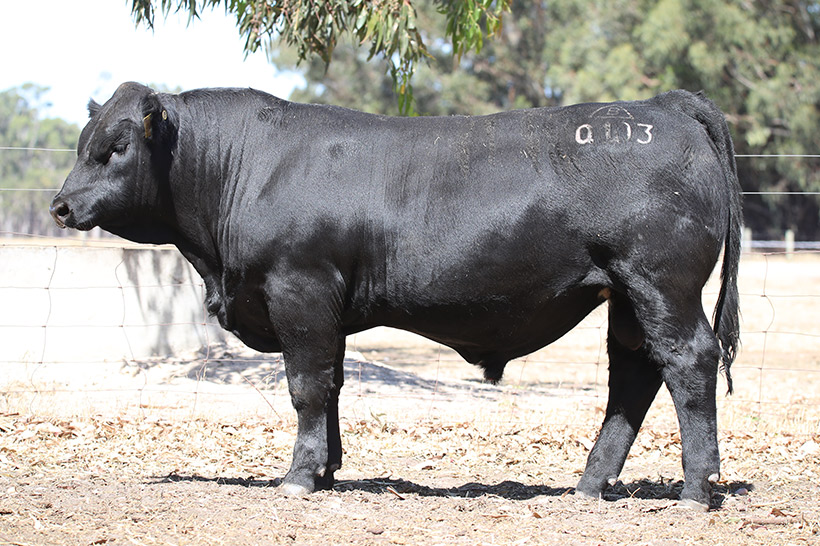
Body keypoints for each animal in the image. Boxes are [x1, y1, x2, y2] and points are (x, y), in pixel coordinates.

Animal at [50, 82, 741, 510]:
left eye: (114, 149)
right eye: (84, 143)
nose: (60, 205)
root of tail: (664, 105)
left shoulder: (300, 289)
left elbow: (305, 386)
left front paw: (297, 477)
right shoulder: (325, 311)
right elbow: (330, 385)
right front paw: (327, 470)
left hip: (661, 283)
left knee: (688, 362)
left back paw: (697, 488)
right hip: (626, 296)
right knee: (633, 376)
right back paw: (591, 484)